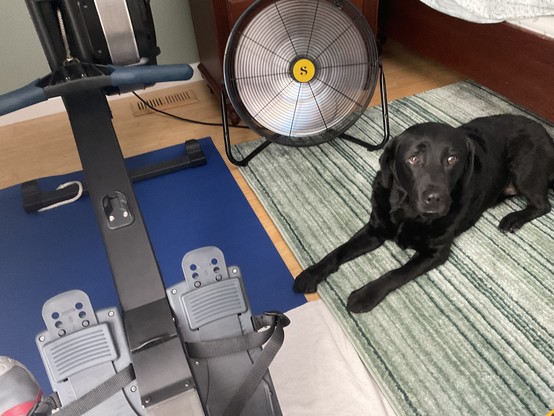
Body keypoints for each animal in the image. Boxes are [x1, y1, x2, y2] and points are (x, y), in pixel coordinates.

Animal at [292, 114, 548, 312]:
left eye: (452, 159)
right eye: (413, 159)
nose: (435, 198)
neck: (407, 212)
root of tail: (545, 131)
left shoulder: (434, 253)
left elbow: (396, 273)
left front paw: (364, 296)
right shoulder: (374, 230)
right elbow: (338, 251)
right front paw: (311, 273)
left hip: (523, 170)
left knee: (543, 205)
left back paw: (513, 219)